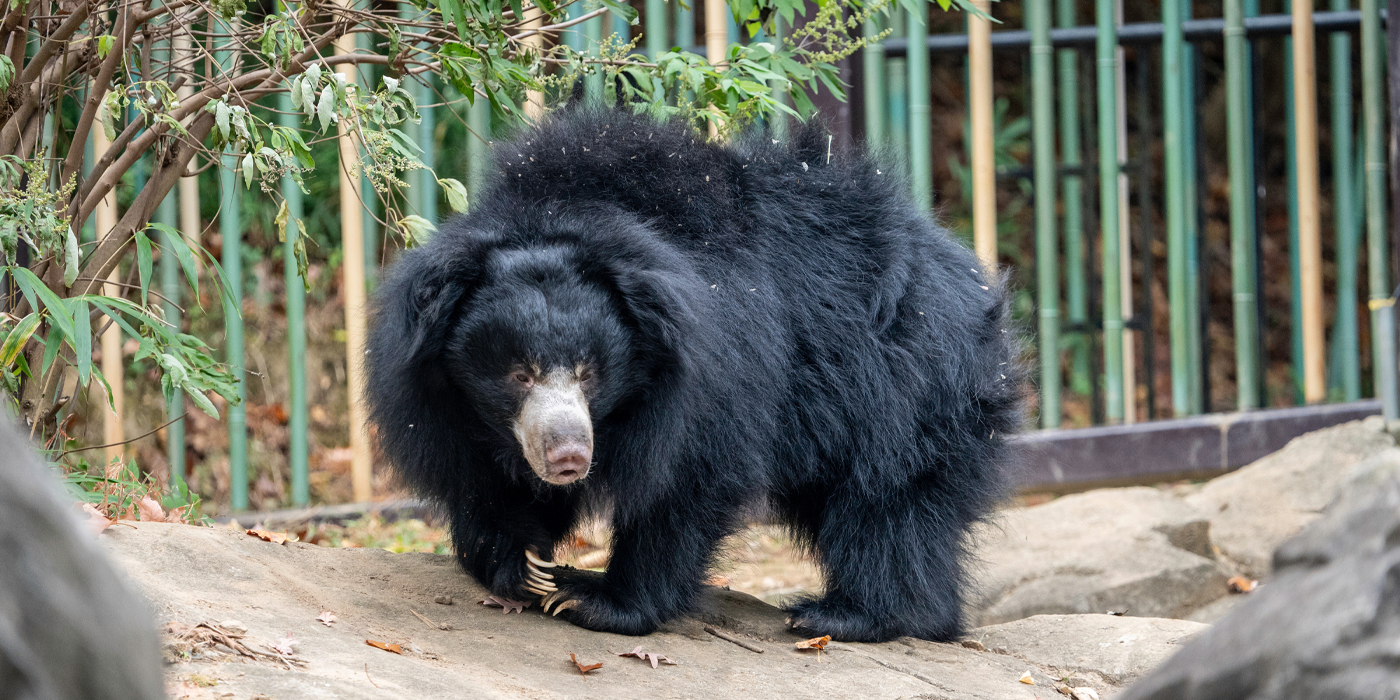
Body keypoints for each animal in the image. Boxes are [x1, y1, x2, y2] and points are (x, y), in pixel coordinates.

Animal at [364, 106, 1019, 641]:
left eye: (589, 372)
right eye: (519, 375)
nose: (569, 455)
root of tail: (971, 274)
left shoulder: (712, 372)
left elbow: (688, 478)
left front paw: (590, 598)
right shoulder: (441, 402)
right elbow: (482, 477)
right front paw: (517, 560)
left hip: (906, 383)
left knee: (889, 498)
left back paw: (847, 615)